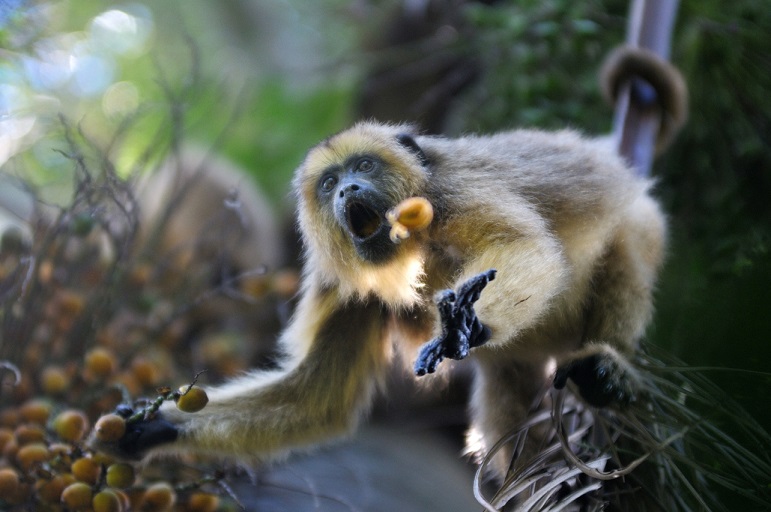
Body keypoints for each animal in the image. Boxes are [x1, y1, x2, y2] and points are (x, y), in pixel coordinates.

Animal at [93, 118, 668, 479]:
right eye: (329, 183)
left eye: (364, 168)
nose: (348, 191)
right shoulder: (343, 288)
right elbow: (315, 398)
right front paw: (154, 429)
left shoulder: (451, 195)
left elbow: (526, 247)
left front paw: (465, 325)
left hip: (642, 225)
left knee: (626, 246)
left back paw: (610, 372)